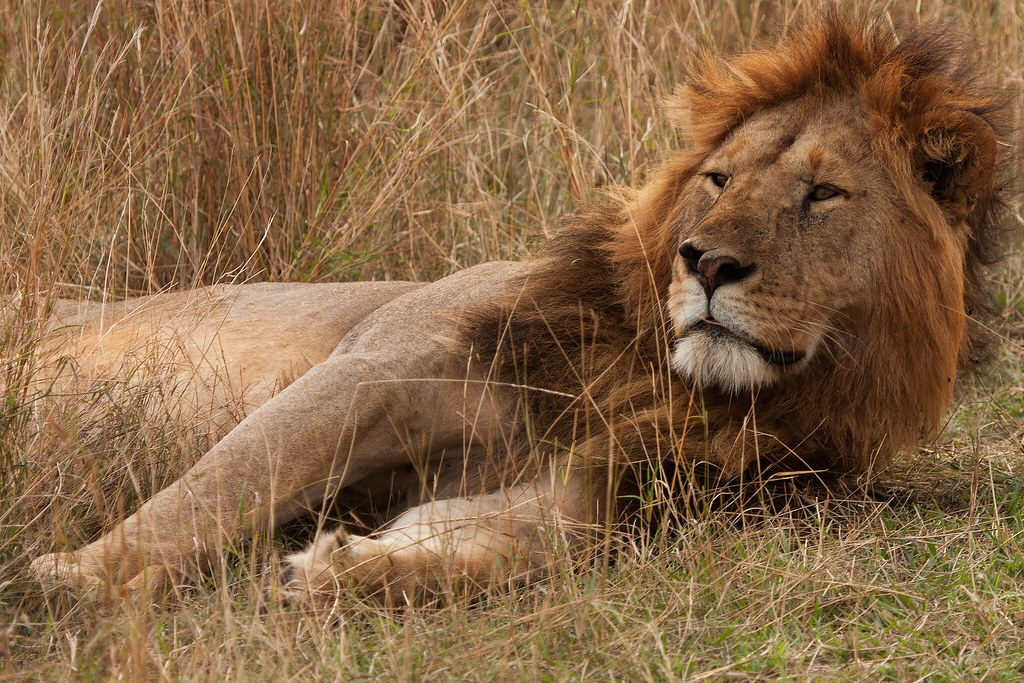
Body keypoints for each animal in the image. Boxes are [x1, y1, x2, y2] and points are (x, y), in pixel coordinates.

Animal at [29, 15, 1011, 607]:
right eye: (719, 180)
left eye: (822, 194)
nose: (706, 263)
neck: (658, 377)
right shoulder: (376, 366)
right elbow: (220, 483)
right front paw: (72, 575)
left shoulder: (596, 489)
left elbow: (508, 546)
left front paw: (348, 567)